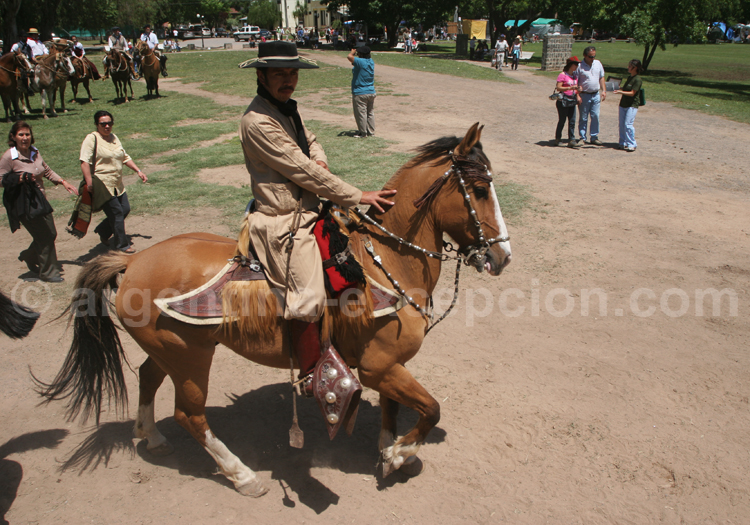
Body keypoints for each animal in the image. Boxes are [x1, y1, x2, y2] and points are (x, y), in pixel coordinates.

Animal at [36, 123, 512, 497]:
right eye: (480, 190)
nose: (501, 256)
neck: (385, 261)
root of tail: (132, 260)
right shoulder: (379, 367)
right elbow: (431, 408)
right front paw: (399, 454)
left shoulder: (389, 365)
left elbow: (395, 409)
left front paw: (391, 450)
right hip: (191, 358)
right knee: (190, 414)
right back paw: (242, 475)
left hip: (169, 350)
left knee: (148, 377)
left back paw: (151, 436)